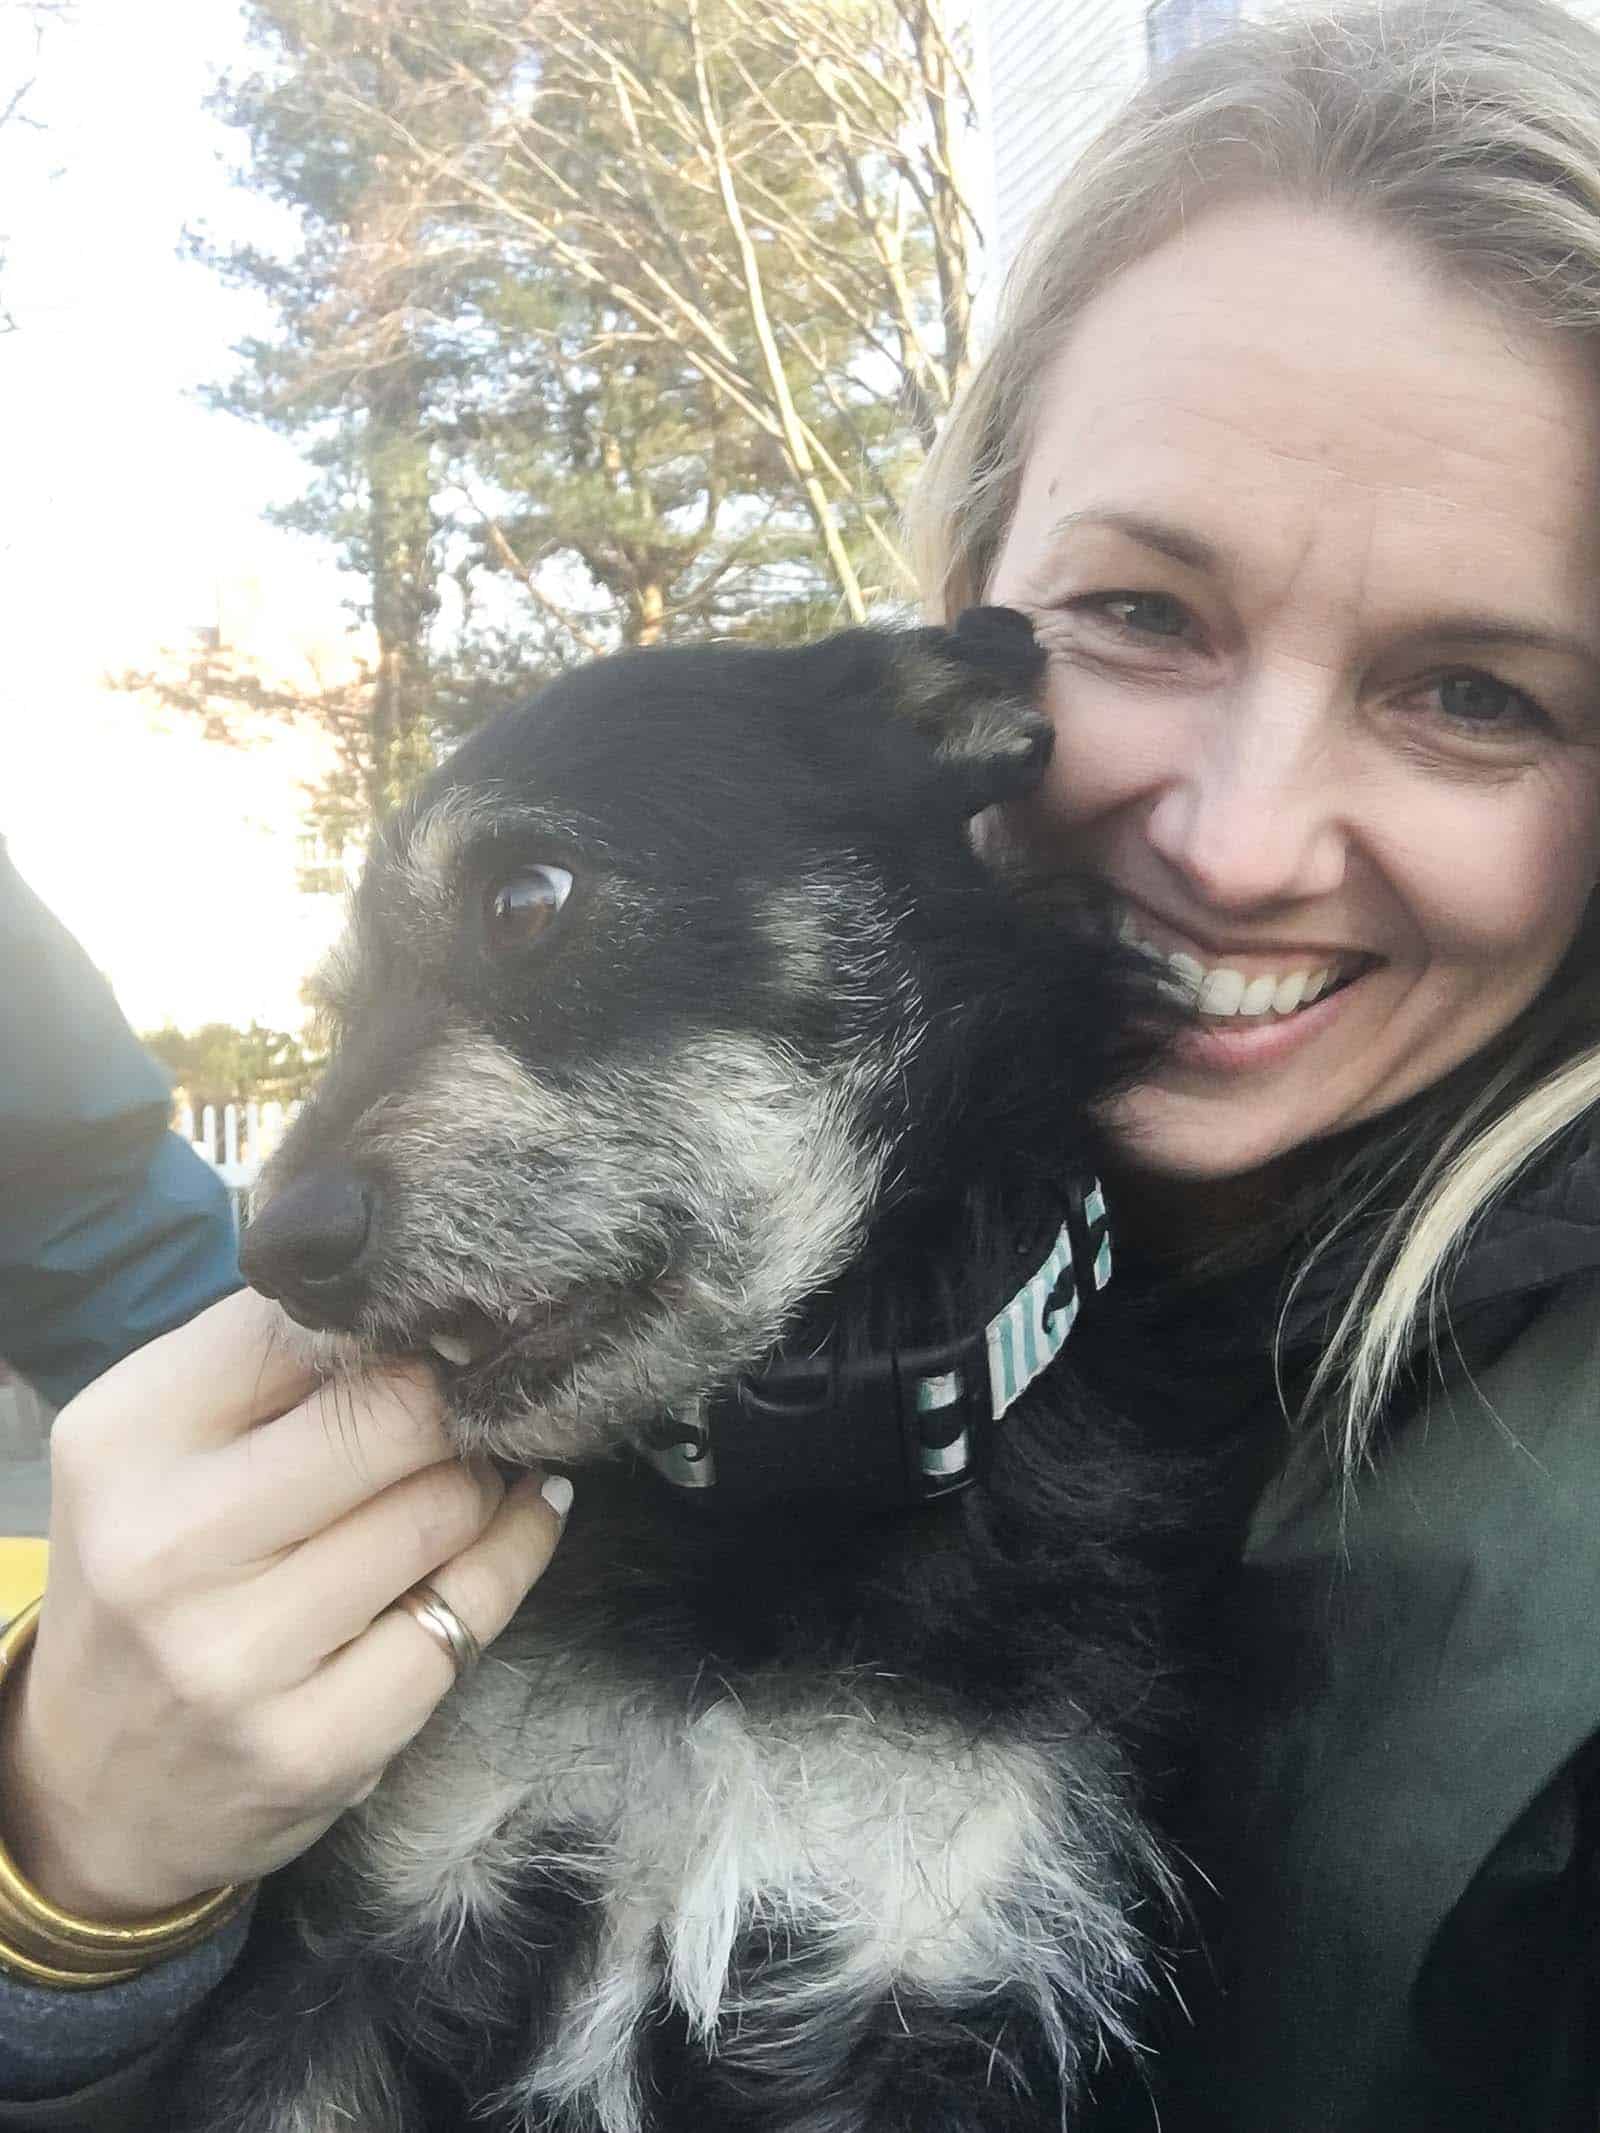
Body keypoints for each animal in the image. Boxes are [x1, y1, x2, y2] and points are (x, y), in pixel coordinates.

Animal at [181, 614, 1220, 2133]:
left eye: (526, 898)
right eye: (343, 998)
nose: (276, 1250)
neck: (764, 1494)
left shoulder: (942, 1974)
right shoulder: (370, 1939)